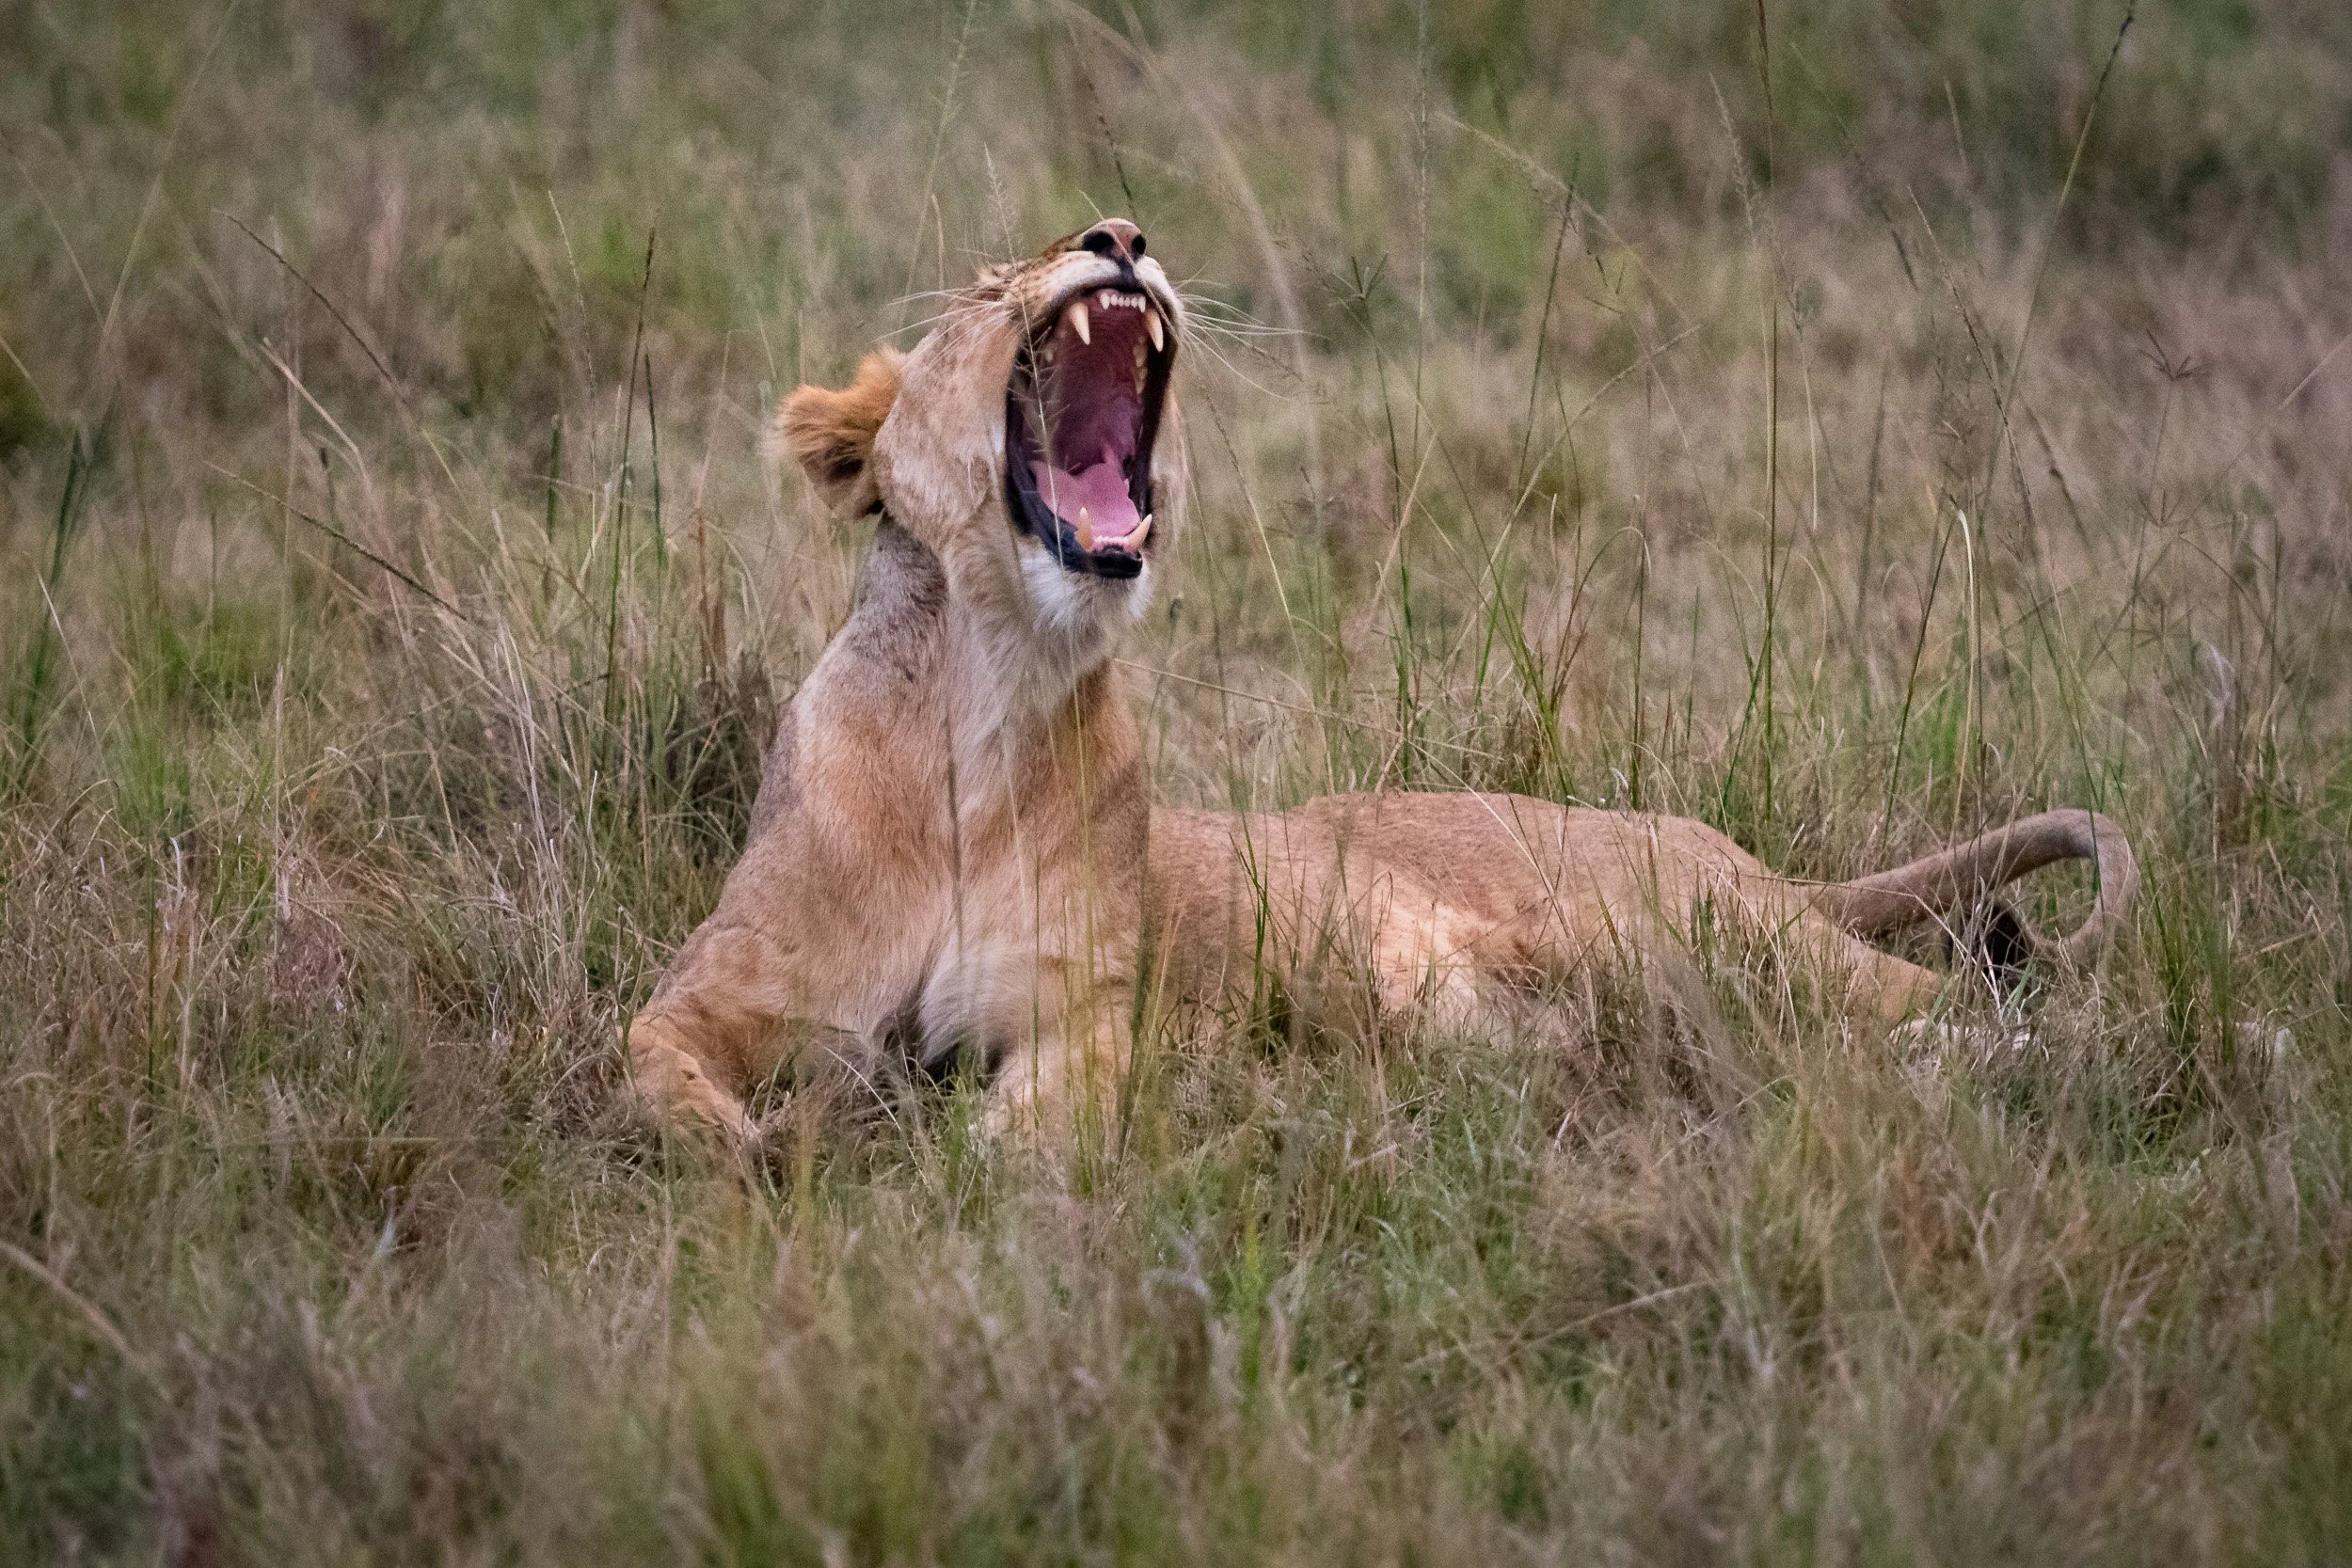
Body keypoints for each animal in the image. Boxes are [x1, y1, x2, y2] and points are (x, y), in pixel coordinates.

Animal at [624, 218, 2137, 1146]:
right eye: (994, 279)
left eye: (1098, 239)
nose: (1120, 237)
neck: (987, 696)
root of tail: (1737, 852)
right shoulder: (711, 991)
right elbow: (648, 1073)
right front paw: (773, 1139)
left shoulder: (1094, 1005)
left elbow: (1050, 1116)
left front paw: (966, 1154)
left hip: (1704, 939)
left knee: (1959, 1003)